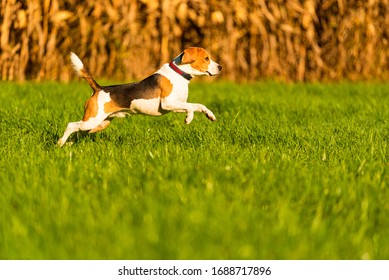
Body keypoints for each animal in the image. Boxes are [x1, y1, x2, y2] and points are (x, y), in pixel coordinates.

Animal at [57, 46, 221, 147]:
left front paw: (210, 115)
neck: (179, 74)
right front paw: (189, 119)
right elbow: (191, 107)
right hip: (92, 120)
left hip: (99, 124)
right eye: (206, 58)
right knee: (71, 125)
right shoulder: (168, 103)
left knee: (78, 132)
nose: (220, 67)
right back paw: (60, 143)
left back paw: (68, 144)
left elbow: (198, 105)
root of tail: (99, 88)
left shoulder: (176, 105)